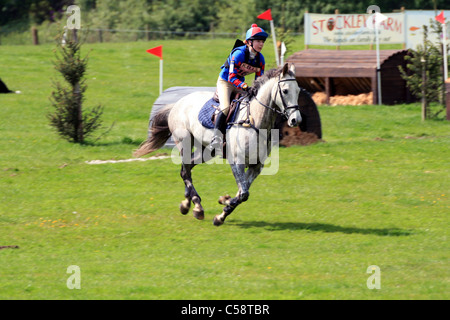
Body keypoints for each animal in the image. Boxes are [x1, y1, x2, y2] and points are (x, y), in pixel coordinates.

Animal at [134, 63, 302, 226]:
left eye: (298, 91)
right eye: (285, 91)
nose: (296, 120)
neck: (255, 120)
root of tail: (177, 103)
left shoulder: (256, 166)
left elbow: (242, 193)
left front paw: (222, 210)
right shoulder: (237, 162)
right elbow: (243, 194)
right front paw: (223, 206)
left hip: (206, 151)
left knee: (187, 167)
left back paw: (187, 204)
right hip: (184, 142)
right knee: (185, 171)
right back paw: (197, 206)